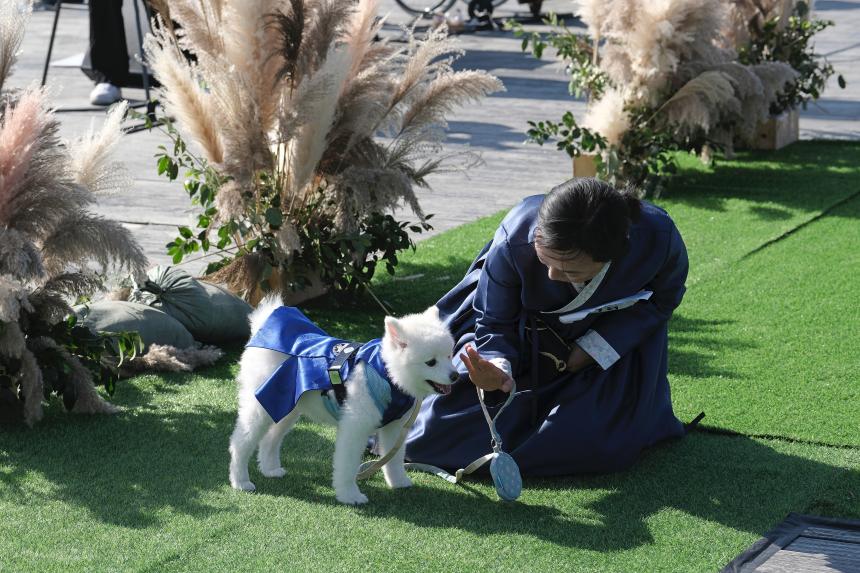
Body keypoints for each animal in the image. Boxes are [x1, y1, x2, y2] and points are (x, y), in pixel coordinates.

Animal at [227, 298, 456, 502]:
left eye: (449, 355)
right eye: (431, 362)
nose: (456, 376)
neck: (387, 373)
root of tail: (263, 326)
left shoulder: (395, 427)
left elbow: (394, 458)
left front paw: (398, 482)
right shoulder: (355, 427)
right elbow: (348, 464)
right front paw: (350, 496)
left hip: (285, 407)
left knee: (270, 438)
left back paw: (271, 469)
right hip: (261, 406)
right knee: (240, 441)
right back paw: (240, 481)